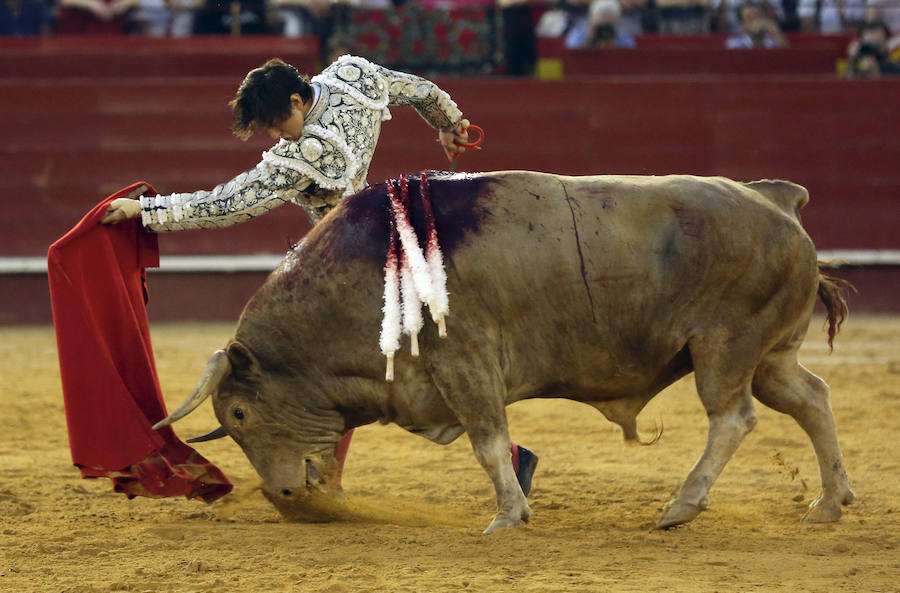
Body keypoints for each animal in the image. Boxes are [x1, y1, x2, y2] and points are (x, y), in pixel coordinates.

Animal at [153, 171, 852, 532]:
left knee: (732, 417)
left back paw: (679, 507)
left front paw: (510, 516)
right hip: (770, 355)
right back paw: (829, 503)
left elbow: (488, 442)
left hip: (724, 346)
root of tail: (778, 201)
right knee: (812, 397)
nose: (284, 498)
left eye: (239, 415)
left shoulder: (467, 364)